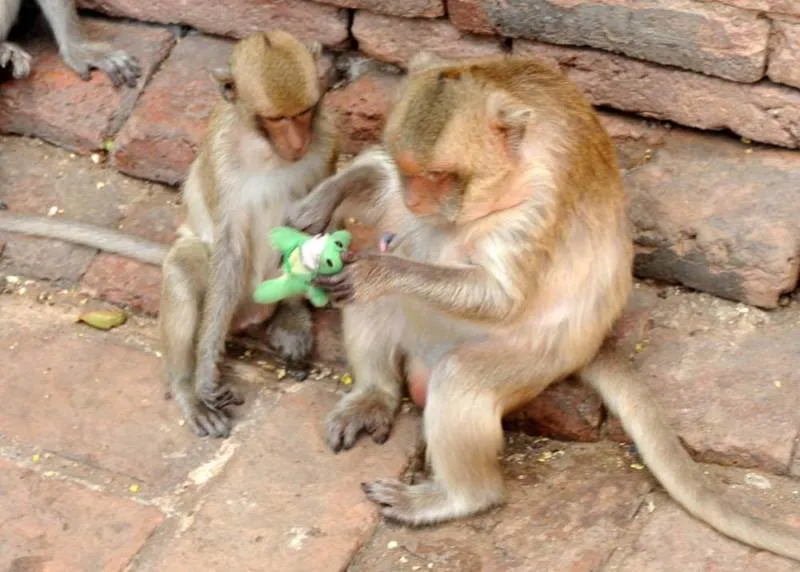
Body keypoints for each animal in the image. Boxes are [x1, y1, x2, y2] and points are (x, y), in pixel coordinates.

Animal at [0, 30, 338, 438]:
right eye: (275, 119)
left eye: (306, 111)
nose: (298, 142)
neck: (267, 149)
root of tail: (252, 309)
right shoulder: (221, 155)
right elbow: (230, 244)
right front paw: (206, 372)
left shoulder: (327, 142)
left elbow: (316, 228)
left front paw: (299, 305)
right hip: (231, 292)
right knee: (182, 269)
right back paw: (186, 390)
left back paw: (289, 312)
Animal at [286, 52, 800, 561]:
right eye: (409, 170)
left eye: (439, 176)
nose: (414, 200)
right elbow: (377, 178)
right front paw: (326, 196)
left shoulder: (540, 203)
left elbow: (500, 297)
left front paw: (378, 271)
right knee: (372, 305)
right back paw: (373, 396)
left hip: (534, 364)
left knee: (461, 377)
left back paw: (457, 497)